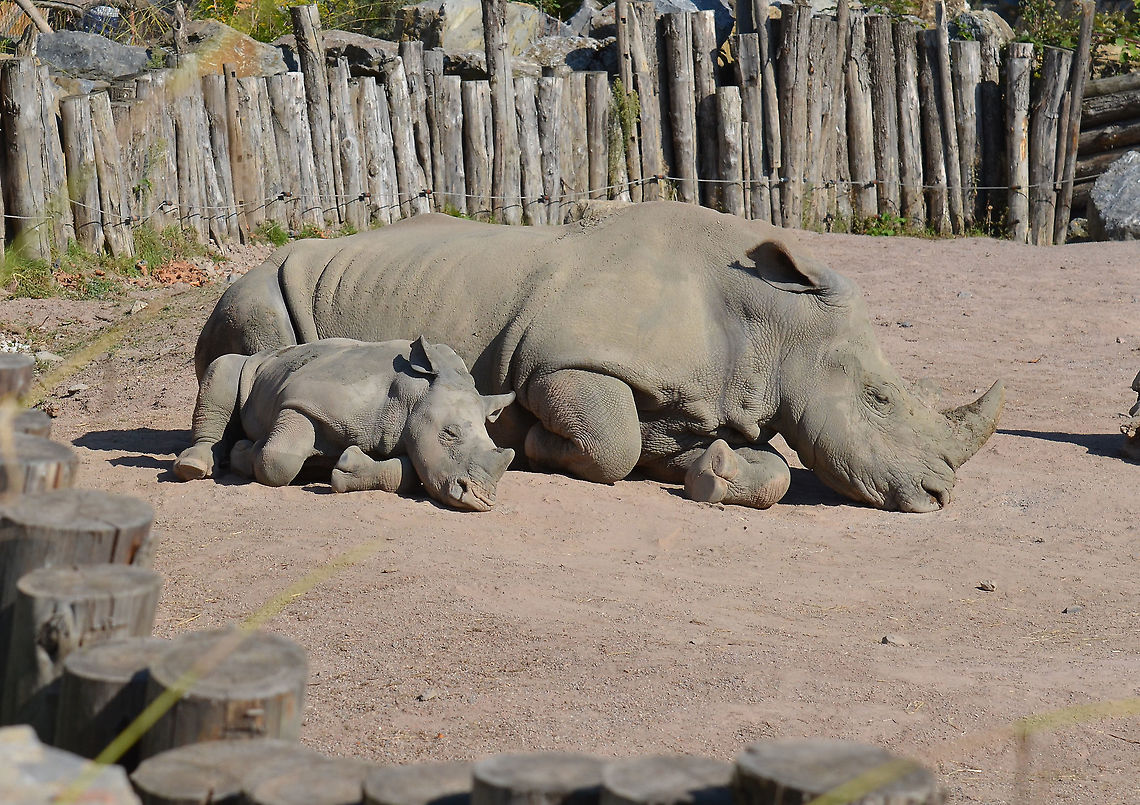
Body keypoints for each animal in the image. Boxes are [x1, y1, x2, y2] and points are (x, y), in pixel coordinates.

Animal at [174, 337, 516, 511]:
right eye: (449, 434)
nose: (481, 499)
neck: (413, 394)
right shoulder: (301, 401)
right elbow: (277, 459)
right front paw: (246, 452)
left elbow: (408, 472)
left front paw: (343, 466)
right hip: (254, 365)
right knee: (223, 366)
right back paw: (195, 466)